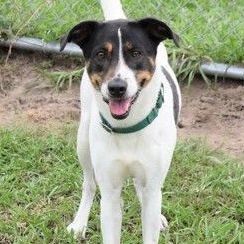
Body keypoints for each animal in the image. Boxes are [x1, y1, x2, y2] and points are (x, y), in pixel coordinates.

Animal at [59, 0, 181, 244]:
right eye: (100, 54)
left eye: (136, 53)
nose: (117, 88)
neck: (129, 127)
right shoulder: (110, 195)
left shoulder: (152, 182)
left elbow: (150, 207)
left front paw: (155, 217)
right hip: (83, 143)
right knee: (89, 184)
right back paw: (79, 223)